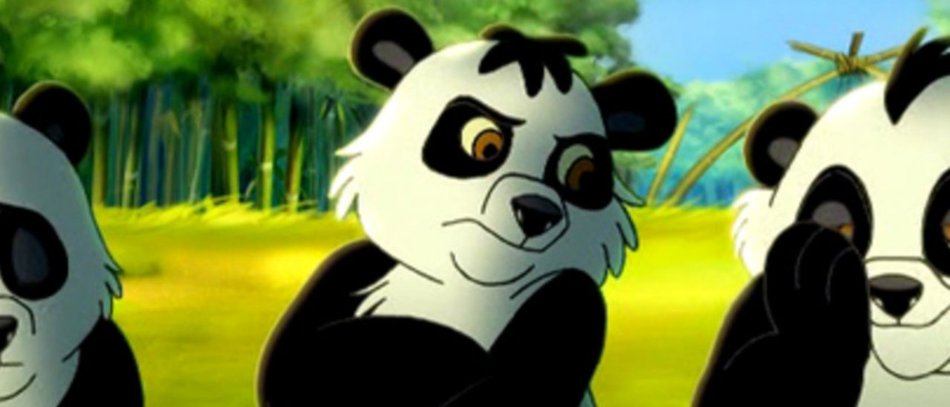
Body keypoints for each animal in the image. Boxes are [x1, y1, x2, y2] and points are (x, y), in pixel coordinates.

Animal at [257, 8, 677, 407]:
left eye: (582, 173)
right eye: (484, 144)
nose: (537, 211)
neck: (467, 284)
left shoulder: (573, 302)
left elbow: (522, 383)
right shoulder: (345, 269)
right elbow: (293, 363)